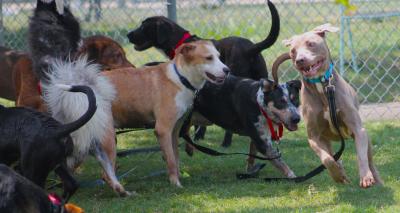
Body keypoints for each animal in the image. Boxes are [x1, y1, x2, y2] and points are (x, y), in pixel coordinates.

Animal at [126, 0, 280, 146]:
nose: (128, 34)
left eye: (143, 27)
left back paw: (226, 142)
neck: (181, 41)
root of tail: (251, 48)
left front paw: (197, 136)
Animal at [276, 23, 382, 188]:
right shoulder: (314, 137)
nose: (300, 60)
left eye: (311, 44)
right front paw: (338, 175)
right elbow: (327, 159)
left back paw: (376, 179)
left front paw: (365, 176)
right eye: (293, 51)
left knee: (369, 158)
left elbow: (361, 155)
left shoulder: (358, 129)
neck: (323, 87)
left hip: (365, 138)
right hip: (326, 140)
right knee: (333, 156)